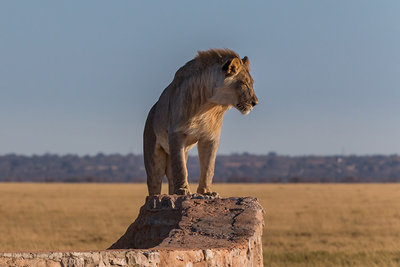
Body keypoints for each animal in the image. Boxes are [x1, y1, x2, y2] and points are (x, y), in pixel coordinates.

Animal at [144, 49, 260, 196]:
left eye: (252, 83)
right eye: (244, 83)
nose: (255, 102)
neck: (208, 106)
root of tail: (152, 110)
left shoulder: (210, 137)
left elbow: (208, 167)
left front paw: (206, 192)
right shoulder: (176, 133)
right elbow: (181, 168)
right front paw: (183, 191)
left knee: (171, 176)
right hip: (154, 158)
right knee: (155, 182)